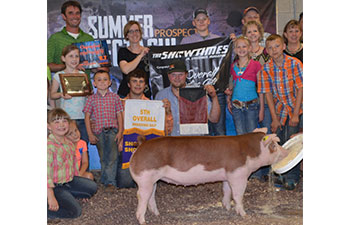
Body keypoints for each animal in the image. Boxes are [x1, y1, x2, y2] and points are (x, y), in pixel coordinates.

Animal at [129, 127, 288, 224]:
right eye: (274, 145)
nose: (285, 152)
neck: (250, 152)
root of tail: (142, 144)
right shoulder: (238, 174)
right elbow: (238, 195)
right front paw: (244, 215)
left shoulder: (228, 176)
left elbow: (226, 191)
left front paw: (227, 208)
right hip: (144, 178)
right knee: (141, 196)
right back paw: (143, 221)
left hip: (152, 180)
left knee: (151, 196)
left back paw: (157, 215)